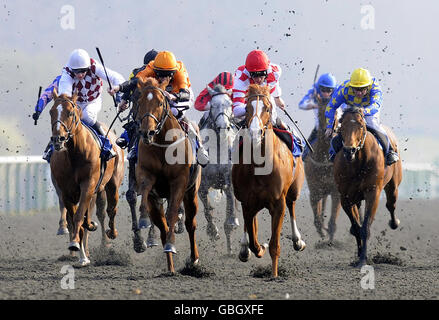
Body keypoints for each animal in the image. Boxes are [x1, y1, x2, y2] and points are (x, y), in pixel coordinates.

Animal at [48, 91, 124, 266]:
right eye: (51, 112)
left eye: (70, 113)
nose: (58, 139)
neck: (74, 154)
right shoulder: (65, 191)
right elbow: (75, 218)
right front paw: (78, 249)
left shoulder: (88, 185)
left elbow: (79, 216)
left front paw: (79, 249)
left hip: (111, 185)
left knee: (110, 209)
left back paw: (111, 234)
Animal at [136, 76, 203, 274]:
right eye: (139, 102)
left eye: (160, 102)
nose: (147, 132)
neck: (163, 145)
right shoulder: (146, 175)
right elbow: (144, 194)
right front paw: (143, 219)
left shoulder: (179, 182)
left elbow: (173, 212)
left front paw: (172, 245)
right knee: (163, 226)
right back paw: (170, 267)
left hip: (191, 194)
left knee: (190, 224)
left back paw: (193, 259)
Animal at [232, 85, 308, 278]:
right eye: (246, 108)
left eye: (267, 108)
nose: (254, 133)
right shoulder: (247, 202)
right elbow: (253, 238)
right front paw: (257, 248)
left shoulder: (278, 203)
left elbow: (274, 245)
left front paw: (274, 275)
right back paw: (245, 249)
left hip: (294, 190)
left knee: (292, 205)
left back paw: (298, 241)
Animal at [306, 101, 344, 241]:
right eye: (320, 112)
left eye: (338, 114)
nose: (330, 132)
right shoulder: (314, 191)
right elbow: (317, 220)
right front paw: (322, 232)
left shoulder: (336, 192)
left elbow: (332, 222)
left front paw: (330, 239)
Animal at [336, 106, 404, 266]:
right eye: (342, 126)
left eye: (361, 125)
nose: (349, 150)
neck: (357, 164)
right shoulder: (345, 197)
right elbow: (356, 227)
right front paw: (359, 255)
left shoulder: (373, 192)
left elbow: (365, 227)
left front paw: (363, 260)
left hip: (393, 186)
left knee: (391, 205)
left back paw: (394, 222)